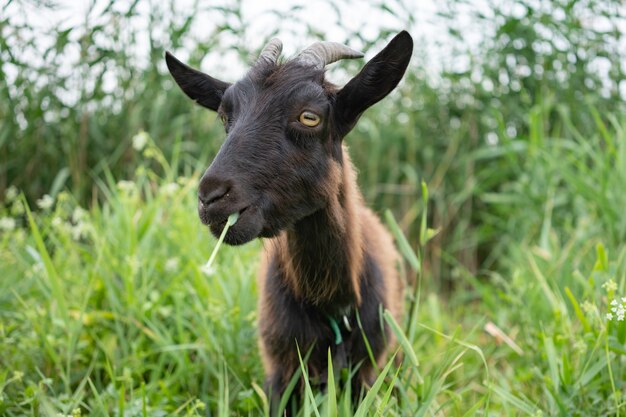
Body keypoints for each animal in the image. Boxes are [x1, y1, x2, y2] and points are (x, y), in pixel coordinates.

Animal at [163, 31, 412, 410]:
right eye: (224, 116)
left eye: (309, 117)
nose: (211, 197)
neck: (331, 307)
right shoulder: (280, 373)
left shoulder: (366, 374)